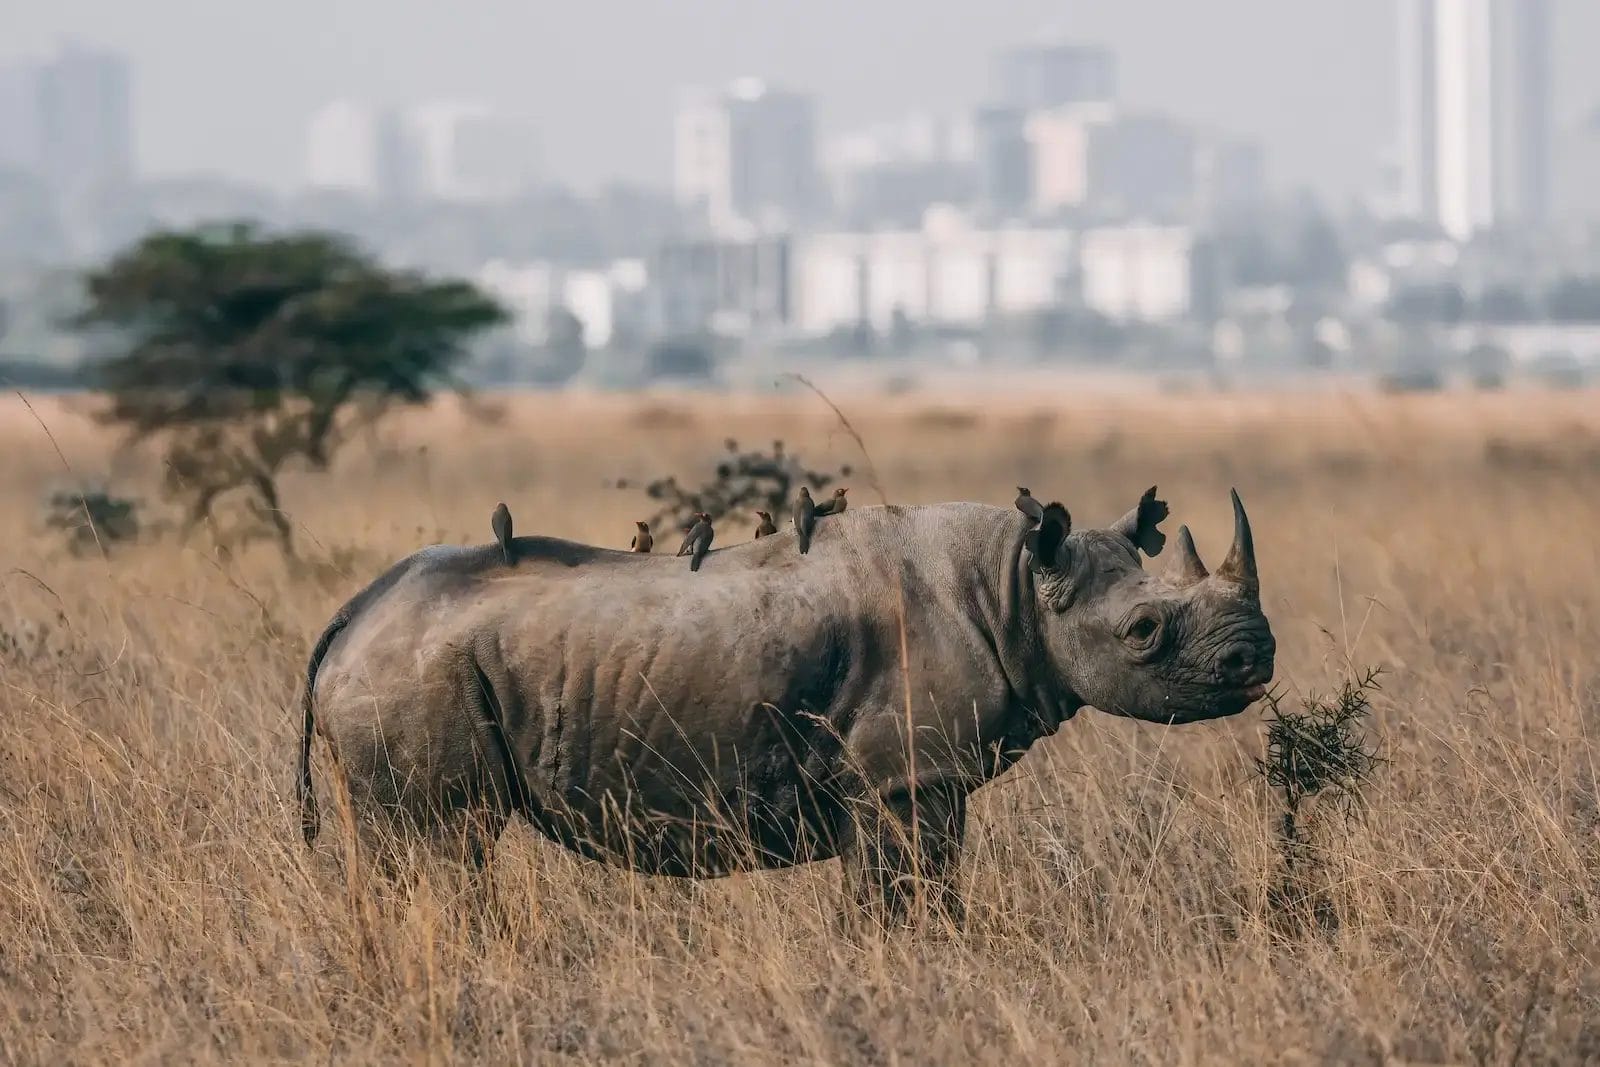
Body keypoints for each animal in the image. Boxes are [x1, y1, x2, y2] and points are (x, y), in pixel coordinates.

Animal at [297, 488, 1274, 921]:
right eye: (1144, 630)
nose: (1256, 657)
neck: (1015, 587)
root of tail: (350, 615)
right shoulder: (908, 780)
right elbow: (908, 892)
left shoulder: (906, 781)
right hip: (414, 671)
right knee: (442, 846)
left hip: (409, 665)